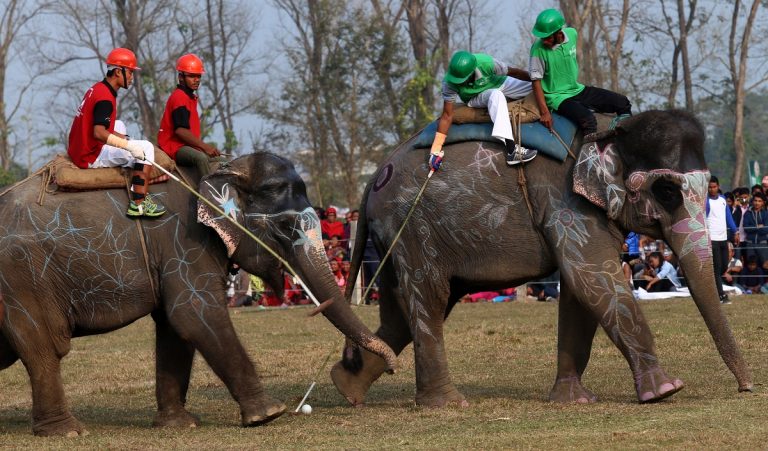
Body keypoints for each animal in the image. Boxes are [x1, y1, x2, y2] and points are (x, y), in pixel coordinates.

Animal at [0, 152, 397, 436]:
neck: (220, 170)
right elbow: (195, 313)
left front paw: (179, 424)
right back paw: (66, 432)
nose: (391, 367)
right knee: (43, 347)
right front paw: (270, 413)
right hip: (23, 279)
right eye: (285, 225)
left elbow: (175, 327)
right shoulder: (185, 241)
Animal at [330, 110, 753, 408]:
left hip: (399, 237)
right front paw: (666, 390)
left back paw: (347, 385)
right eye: (666, 191)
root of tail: (374, 178)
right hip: (414, 225)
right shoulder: (564, 201)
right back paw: (446, 404)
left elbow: (580, 291)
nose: (746, 388)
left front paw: (574, 401)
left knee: (403, 309)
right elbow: (592, 276)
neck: (609, 129)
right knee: (430, 298)